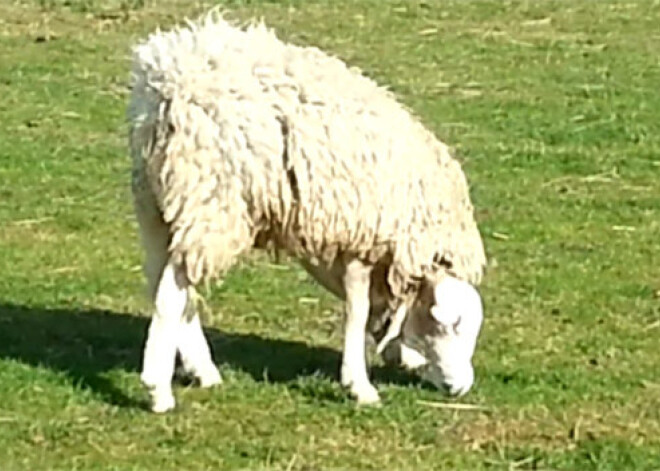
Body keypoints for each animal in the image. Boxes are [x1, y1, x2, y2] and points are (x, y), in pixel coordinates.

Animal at [129, 12, 488, 412]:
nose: (461, 389)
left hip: (157, 203)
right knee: (171, 294)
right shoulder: (361, 237)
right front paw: (359, 385)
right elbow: (357, 310)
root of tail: (168, 84)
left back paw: (201, 370)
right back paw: (159, 390)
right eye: (450, 324)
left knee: (165, 281)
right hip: (214, 200)